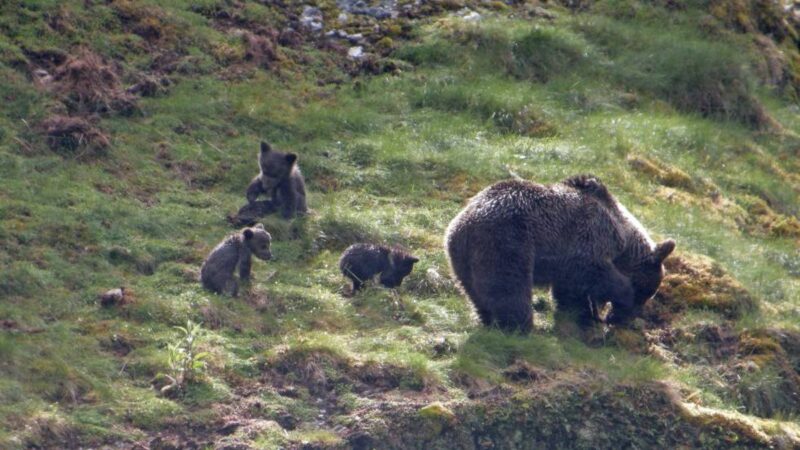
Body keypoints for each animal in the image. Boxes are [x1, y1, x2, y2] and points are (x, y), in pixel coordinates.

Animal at [444, 176, 676, 334]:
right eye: (644, 292)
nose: (619, 318)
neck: (622, 235)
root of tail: (464, 224)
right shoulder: (589, 237)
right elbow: (594, 271)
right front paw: (618, 295)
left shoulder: (567, 260)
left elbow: (570, 290)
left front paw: (580, 314)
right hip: (507, 242)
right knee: (509, 287)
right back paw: (519, 326)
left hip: (461, 258)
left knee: (475, 291)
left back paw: (487, 318)